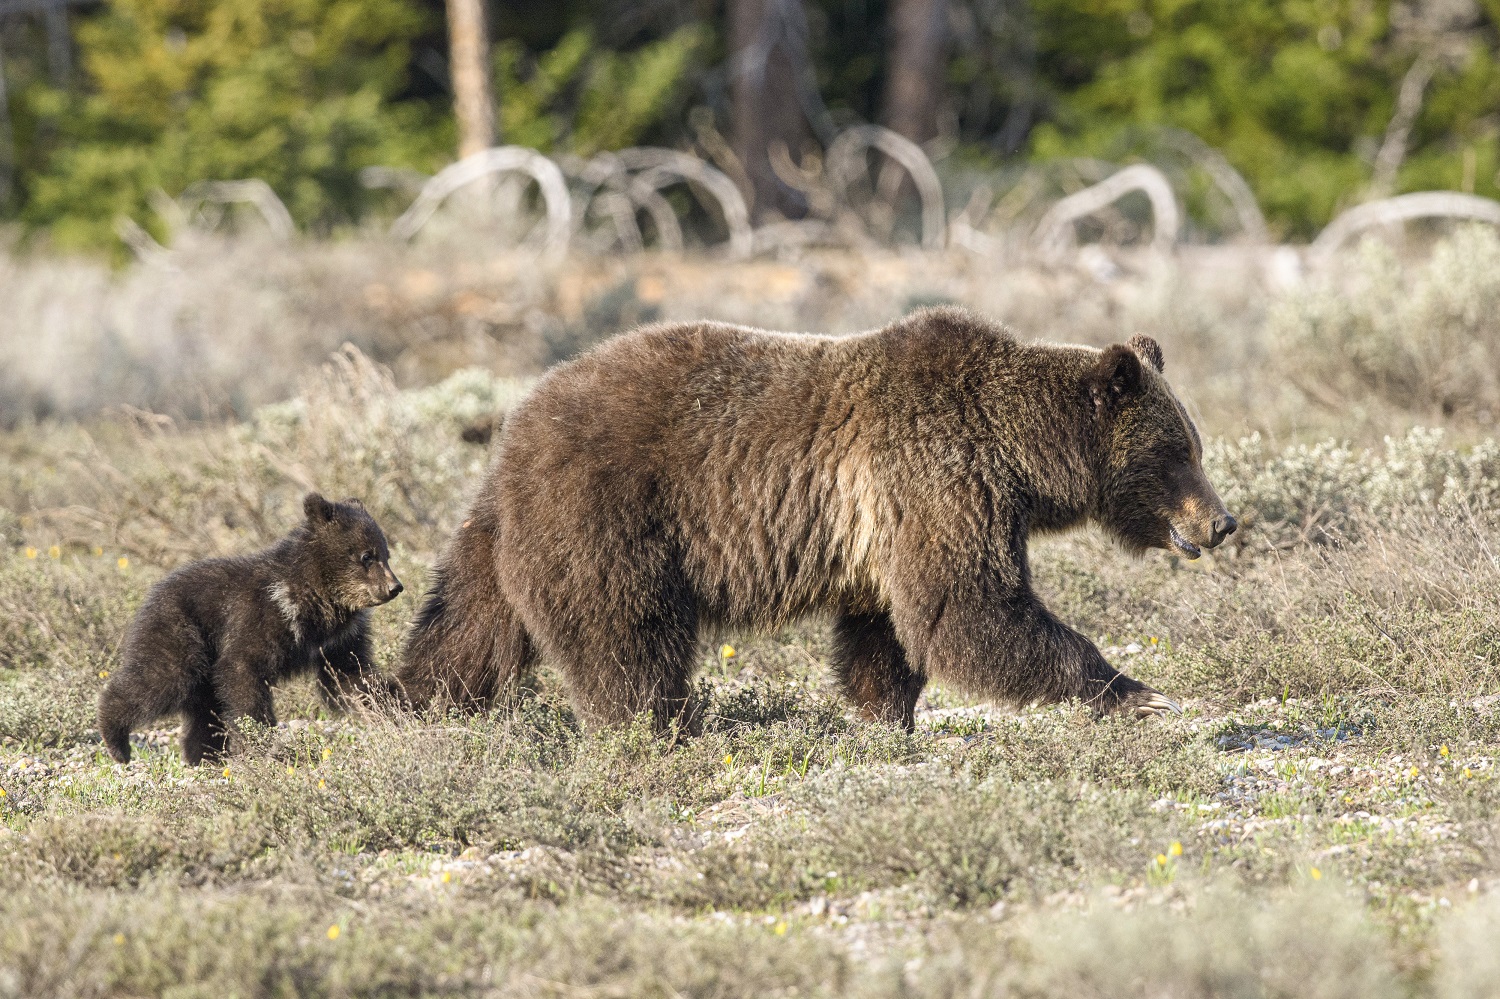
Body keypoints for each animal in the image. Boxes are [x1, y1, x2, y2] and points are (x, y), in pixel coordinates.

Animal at [99, 492, 405, 762]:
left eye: (386, 553)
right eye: (367, 556)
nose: (394, 587)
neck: (314, 601)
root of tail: (151, 594)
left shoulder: (337, 641)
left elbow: (352, 677)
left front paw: (390, 709)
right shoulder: (260, 618)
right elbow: (243, 675)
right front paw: (264, 743)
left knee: (203, 710)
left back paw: (206, 755)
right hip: (181, 634)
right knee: (158, 679)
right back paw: (116, 741)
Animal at [393, 307, 1236, 735]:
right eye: (1176, 451)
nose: (1223, 520)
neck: (1017, 452)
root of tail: (515, 429)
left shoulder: (891, 521)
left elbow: (889, 629)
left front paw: (887, 719)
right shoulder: (938, 476)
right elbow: (971, 608)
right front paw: (1136, 690)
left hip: (508, 538)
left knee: (468, 627)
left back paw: (415, 705)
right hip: (612, 515)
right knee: (626, 638)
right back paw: (660, 727)